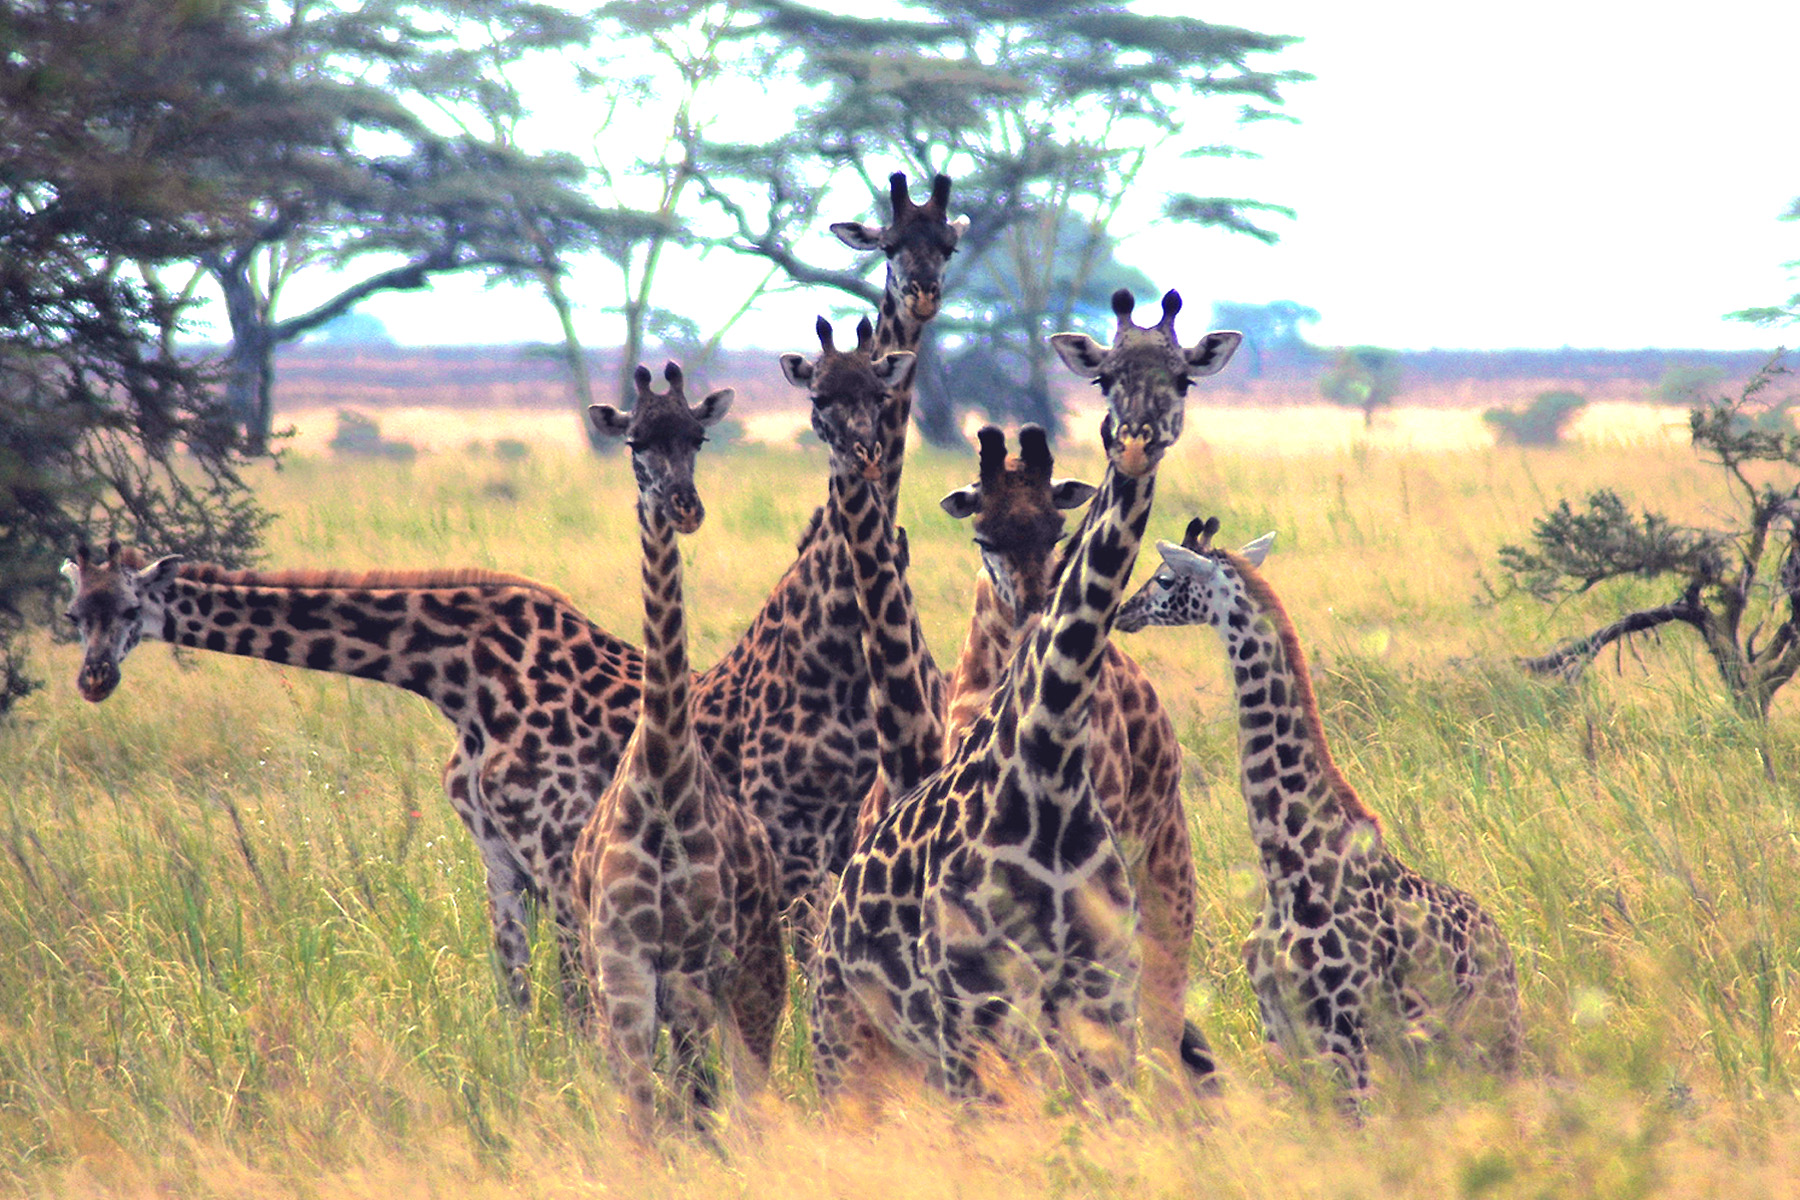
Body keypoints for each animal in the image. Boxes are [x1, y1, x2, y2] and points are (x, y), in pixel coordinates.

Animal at [66, 539, 651, 1021]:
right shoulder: (502, 860)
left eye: (131, 609)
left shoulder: (558, 847)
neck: (460, 677)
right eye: (73, 615)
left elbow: (581, 1003)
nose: (95, 678)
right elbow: (518, 998)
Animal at [568, 363, 781, 1137]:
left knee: (749, 1093)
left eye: (699, 436)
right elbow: (640, 1108)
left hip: (757, 977)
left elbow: (696, 1102)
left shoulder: (692, 965)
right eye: (634, 440)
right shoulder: (623, 965)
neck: (661, 771)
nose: (685, 507)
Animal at [813, 286, 1245, 1101]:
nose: (1134, 443)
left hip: (1164, 881)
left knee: (1171, 1032)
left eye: (1182, 378)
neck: (1047, 760)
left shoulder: (1096, 999)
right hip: (856, 1037)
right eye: (1105, 378)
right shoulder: (972, 1012)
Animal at [1108, 518, 1519, 1101]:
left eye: (1166, 578)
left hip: (1486, 1036)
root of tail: (1504, 949)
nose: (1125, 610)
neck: (1286, 868)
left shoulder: (1341, 1031)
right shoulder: (1282, 1032)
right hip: (1429, 1048)